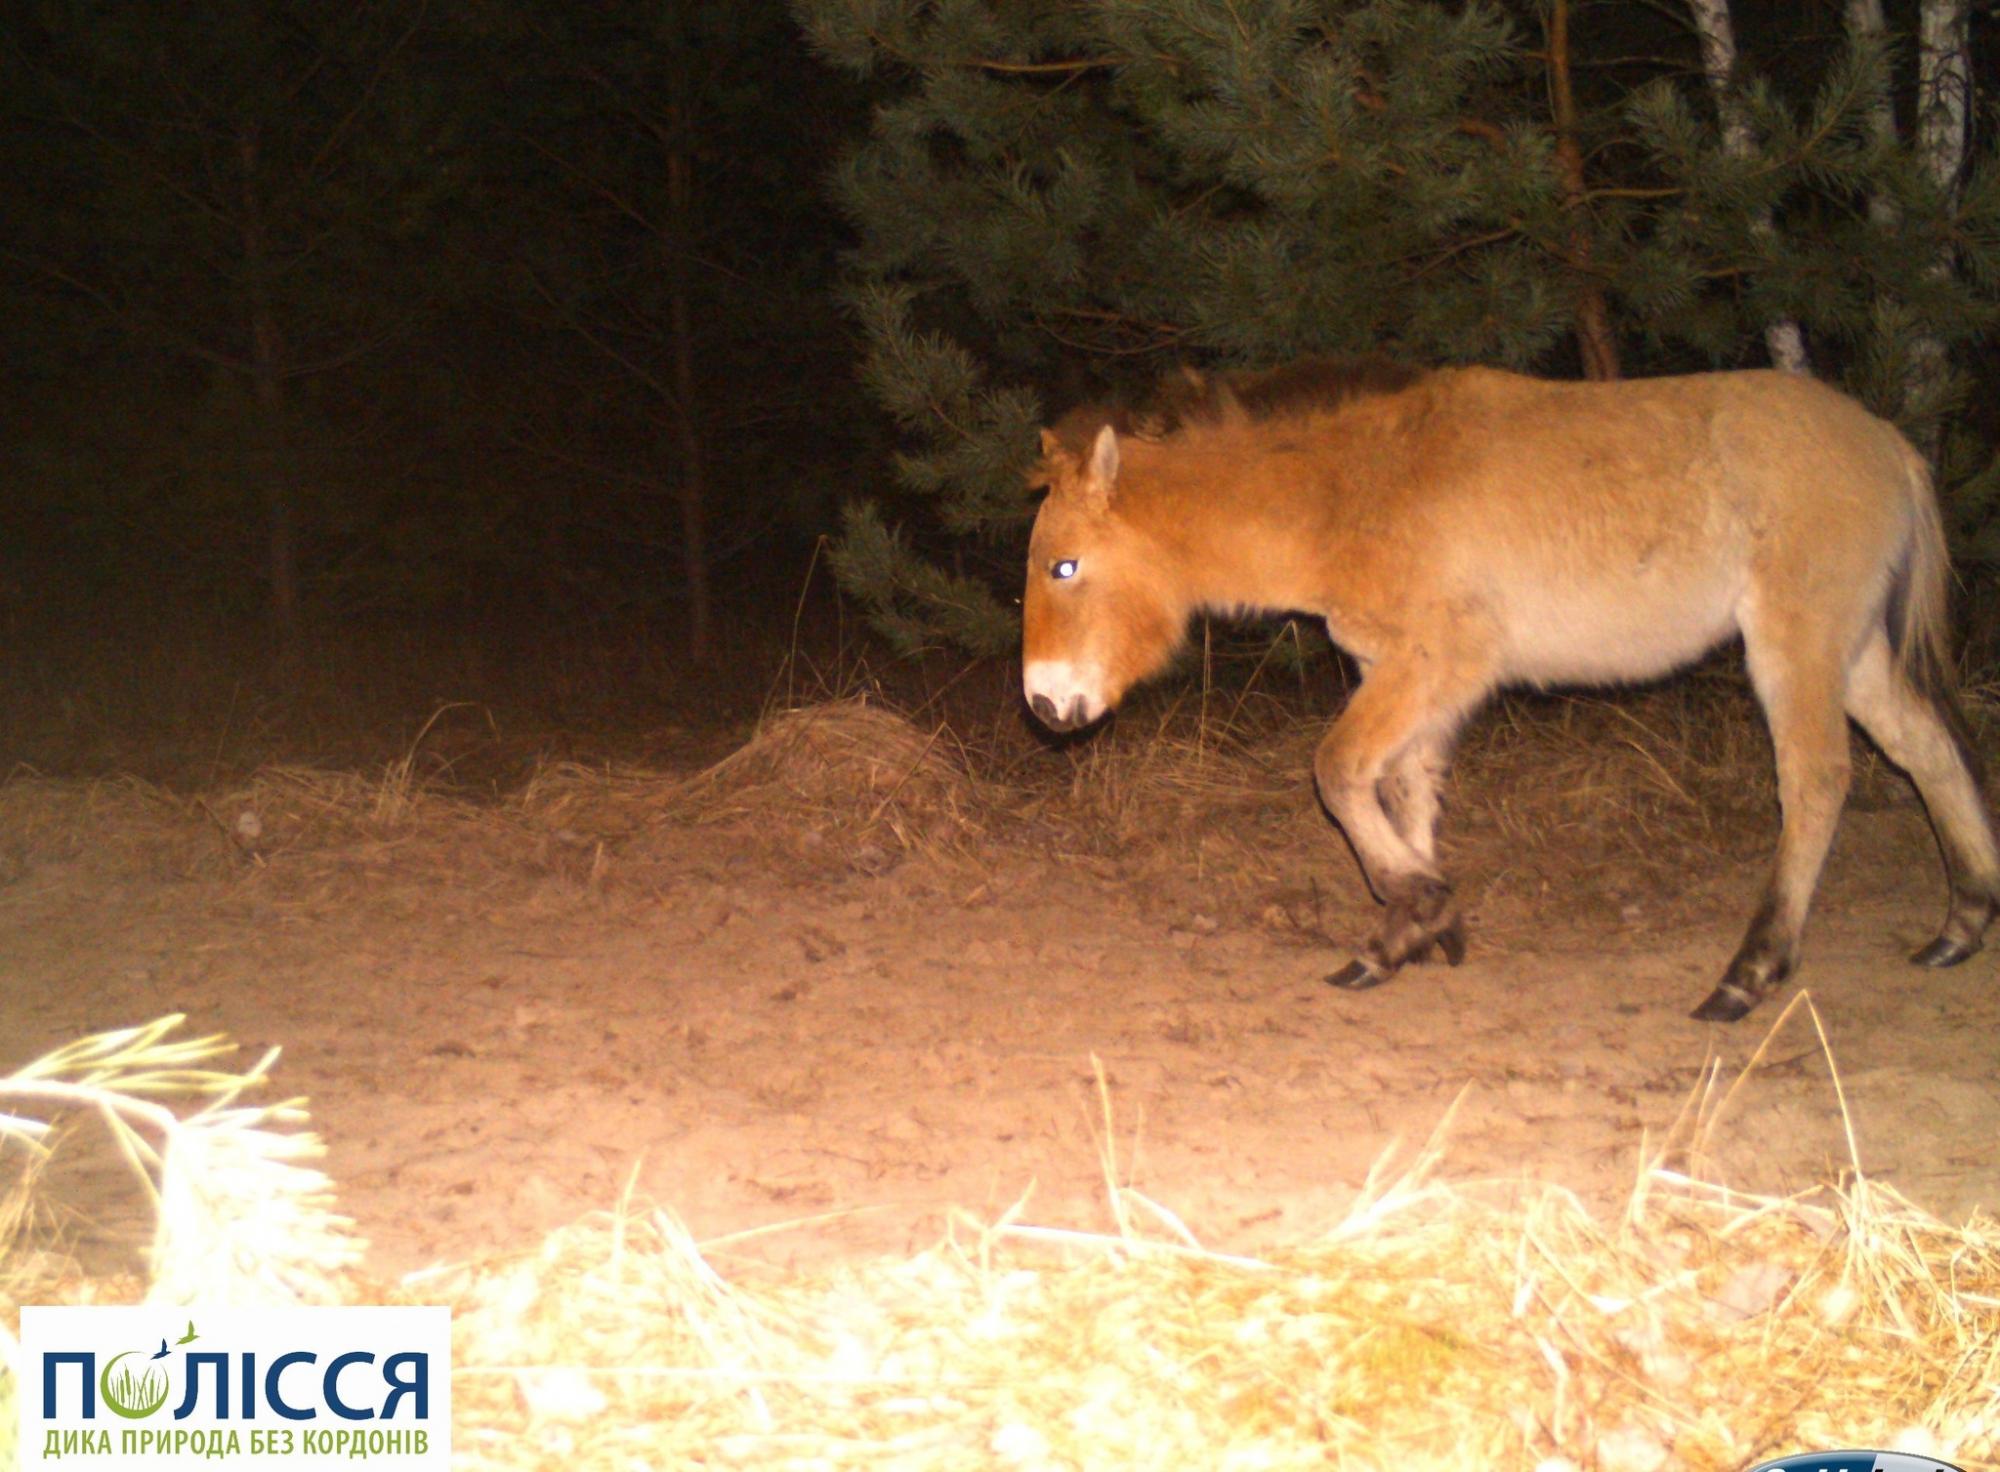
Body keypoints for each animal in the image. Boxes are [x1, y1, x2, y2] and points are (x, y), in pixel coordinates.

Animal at [1024, 360, 1992, 1016]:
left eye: (1064, 566)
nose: (1043, 704)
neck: (1355, 491)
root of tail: (1889, 442)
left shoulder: (1442, 662)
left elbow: (1337, 772)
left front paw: (1418, 910)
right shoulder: (1403, 675)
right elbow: (1402, 791)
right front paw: (1413, 932)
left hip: (1797, 643)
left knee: (1817, 778)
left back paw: (1748, 974)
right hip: (1852, 649)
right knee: (1926, 749)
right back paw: (1962, 924)